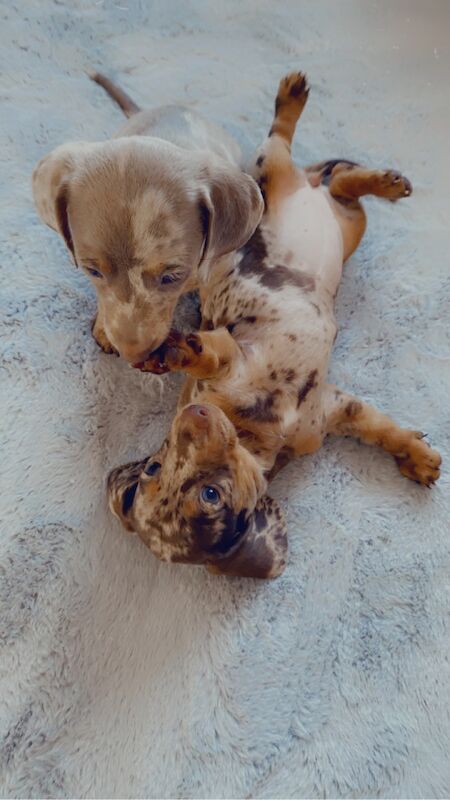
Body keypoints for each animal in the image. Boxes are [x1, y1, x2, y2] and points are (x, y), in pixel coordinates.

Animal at [32, 70, 264, 364]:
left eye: (172, 277)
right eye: (92, 271)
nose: (133, 356)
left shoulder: (219, 264)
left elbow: (211, 289)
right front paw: (104, 329)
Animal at [108, 72, 440, 580]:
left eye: (209, 493)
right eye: (159, 468)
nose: (194, 415)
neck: (260, 431)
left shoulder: (256, 368)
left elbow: (207, 351)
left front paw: (418, 457)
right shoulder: (333, 409)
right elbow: (376, 426)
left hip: (302, 201)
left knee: (324, 172)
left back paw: (370, 165)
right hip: (322, 207)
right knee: (311, 165)